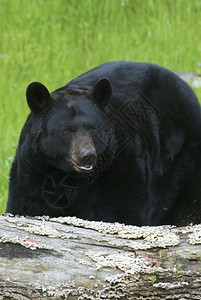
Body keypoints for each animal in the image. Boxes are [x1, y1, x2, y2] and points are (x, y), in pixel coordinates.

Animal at [6, 61, 201, 225]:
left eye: (93, 129)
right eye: (66, 131)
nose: (87, 156)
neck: (72, 177)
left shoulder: (121, 163)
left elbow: (122, 210)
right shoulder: (35, 169)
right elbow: (28, 205)